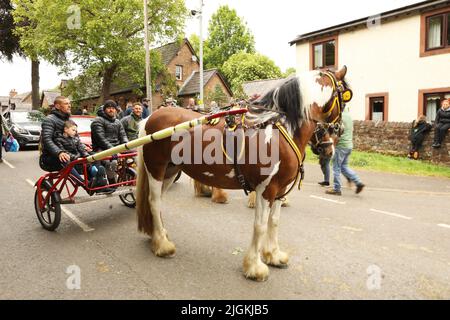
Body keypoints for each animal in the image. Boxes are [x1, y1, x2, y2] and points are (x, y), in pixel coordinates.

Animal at [136, 67, 352, 280]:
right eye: (345, 97)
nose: (331, 144)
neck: (279, 131)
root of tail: (150, 117)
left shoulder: (280, 190)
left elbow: (274, 221)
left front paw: (273, 255)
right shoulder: (266, 189)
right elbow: (260, 225)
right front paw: (254, 266)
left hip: (170, 171)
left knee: (158, 201)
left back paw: (159, 235)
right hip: (156, 168)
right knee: (154, 202)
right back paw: (162, 245)